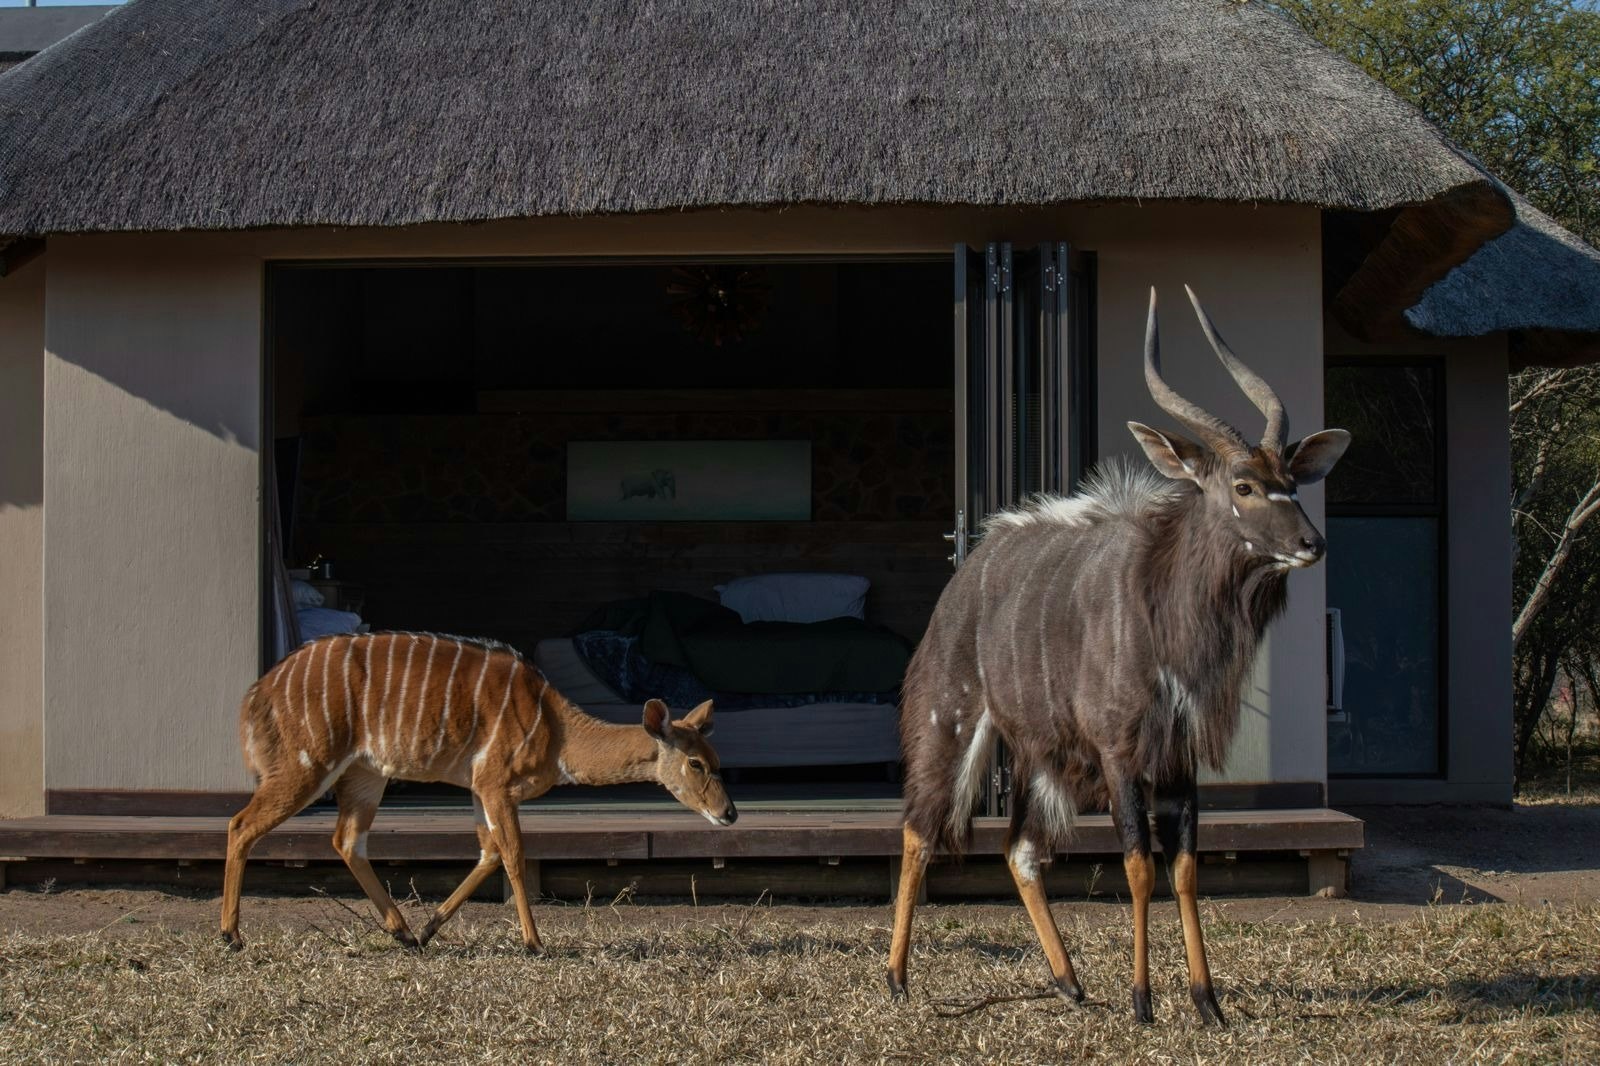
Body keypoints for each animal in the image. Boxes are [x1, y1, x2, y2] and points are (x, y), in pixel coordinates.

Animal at [220, 631, 736, 953]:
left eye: (717, 759)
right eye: (695, 763)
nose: (729, 813)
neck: (557, 731)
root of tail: (256, 695)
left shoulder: (478, 788)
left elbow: (488, 852)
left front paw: (429, 930)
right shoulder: (495, 783)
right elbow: (513, 854)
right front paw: (534, 943)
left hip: (367, 774)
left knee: (346, 840)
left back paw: (403, 933)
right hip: (308, 765)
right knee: (241, 824)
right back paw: (231, 936)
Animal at [886, 287, 1350, 1025]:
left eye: (1292, 481)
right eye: (1245, 486)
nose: (1312, 543)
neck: (1166, 613)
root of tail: (971, 568)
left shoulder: (1179, 759)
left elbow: (1184, 867)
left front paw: (1207, 1003)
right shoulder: (1120, 751)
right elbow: (1137, 863)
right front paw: (1142, 1000)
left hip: (1038, 756)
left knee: (1020, 849)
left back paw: (1069, 982)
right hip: (953, 724)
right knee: (918, 829)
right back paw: (898, 979)